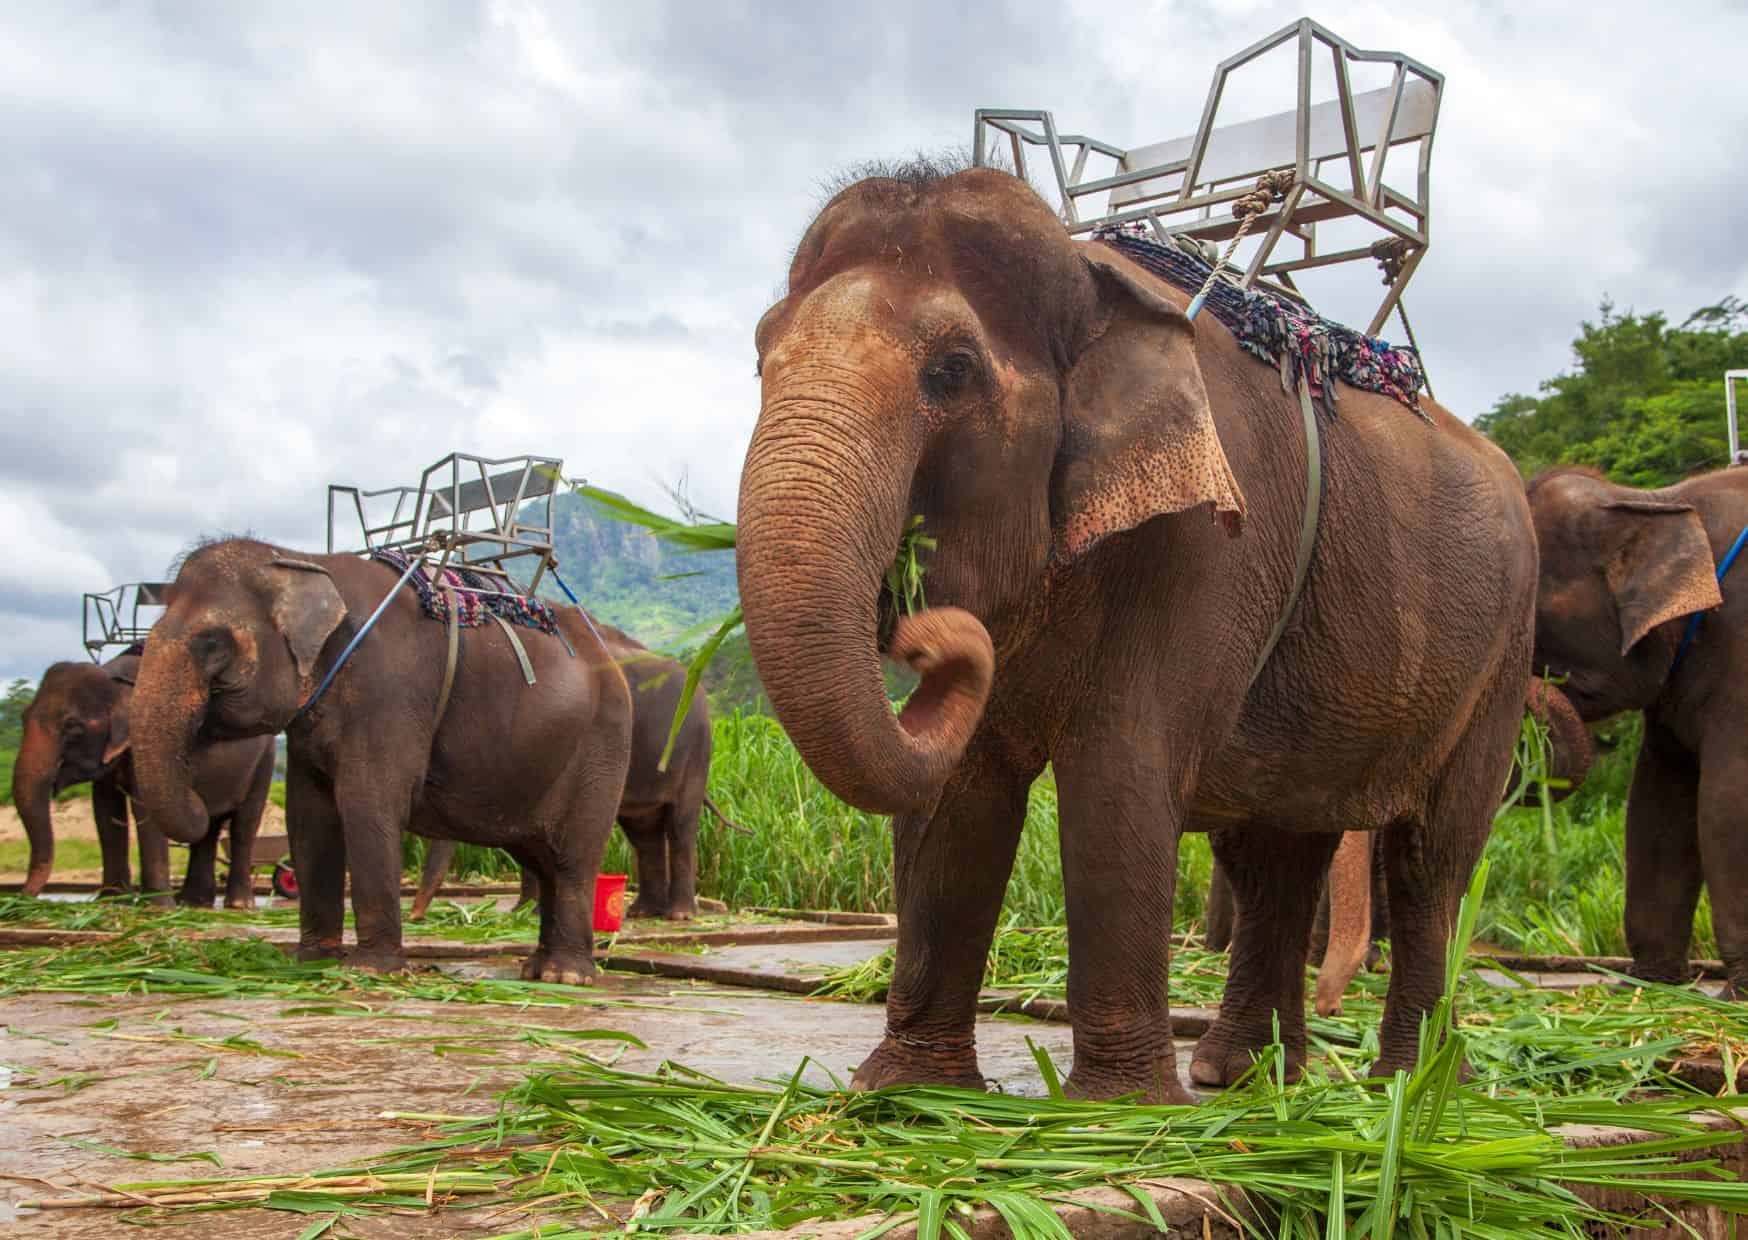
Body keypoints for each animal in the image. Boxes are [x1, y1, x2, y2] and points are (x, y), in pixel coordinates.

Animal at [11, 647, 274, 906]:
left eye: (73, 727)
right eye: (22, 717)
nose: (20, 899)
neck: (115, 679)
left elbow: (146, 810)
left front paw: (157, 908)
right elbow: (105, 811)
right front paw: (111, 901)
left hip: (264, 763)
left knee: (244, 825)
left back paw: (237, 905)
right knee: (209, 827)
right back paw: (193, 903)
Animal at [126, 539, 632, 983]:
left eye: (212, 642)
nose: (201, 800)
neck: (304, 560)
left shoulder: (389, 692)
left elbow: (366, 802)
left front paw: (370, 971)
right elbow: (309, 817)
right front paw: (313, 962)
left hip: (602, 746)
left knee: (573, 857)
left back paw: (565, 975)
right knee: (542, 856)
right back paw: (537, 969)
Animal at [409, 620, 748, 922]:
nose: (415, 916)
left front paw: (533, 912)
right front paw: (525, 912)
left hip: (696, 750)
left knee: (680, 824)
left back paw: (679, 915)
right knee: (643, 832)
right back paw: (642, 912)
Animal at [736, 161, 1537, 1102]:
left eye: (953, 370)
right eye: (760, 357)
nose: (925, 631)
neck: (1093, 285)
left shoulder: (1210, 544)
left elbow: (1118, 772)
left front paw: (1115, 1110)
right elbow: (960, 792)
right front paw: (910, 1091)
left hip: (1502, 659)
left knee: (1430, 859)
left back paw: (1410, 1087)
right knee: (1275, 849)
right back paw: (1248, 1079)